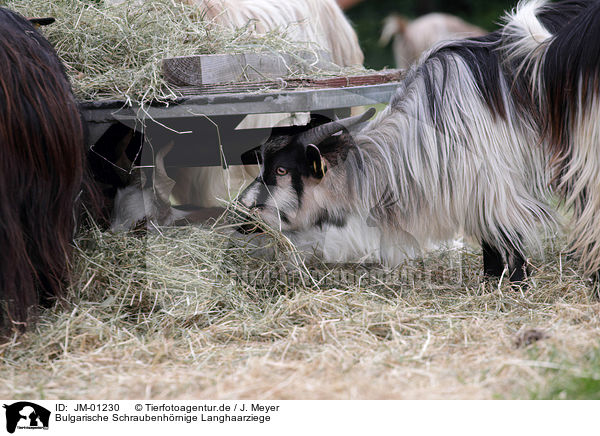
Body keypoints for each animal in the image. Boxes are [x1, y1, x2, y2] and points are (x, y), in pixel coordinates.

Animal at [239, 0, 600, 282]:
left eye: (282, 171)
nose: (244, 216)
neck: (427, 132)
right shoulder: (474, 191)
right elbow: (489, 240)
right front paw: (490, 281)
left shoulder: (495, 185)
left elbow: (505, 235)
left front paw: (514, 285)